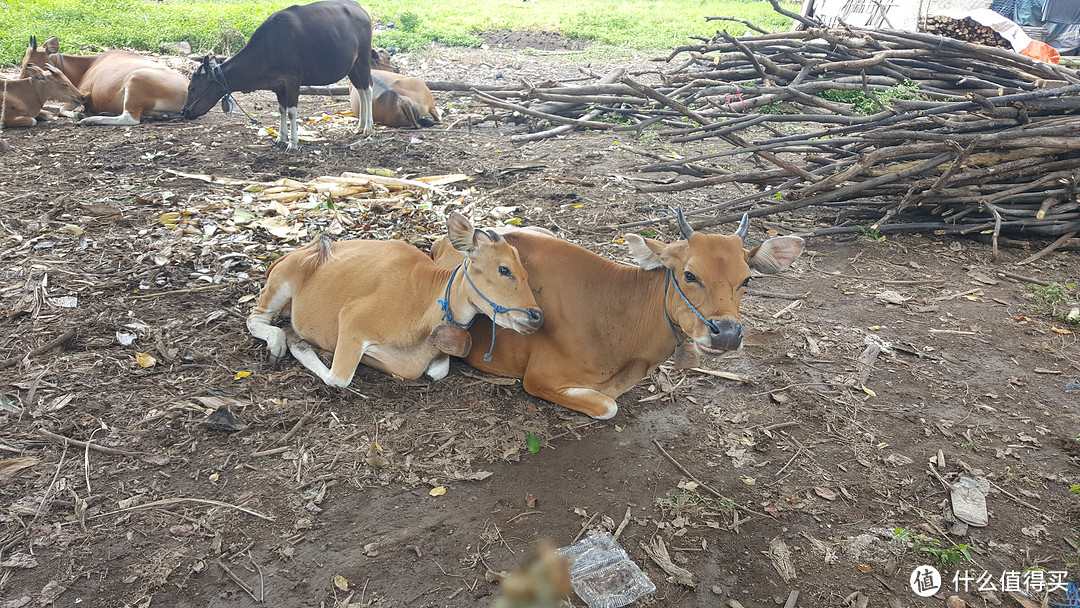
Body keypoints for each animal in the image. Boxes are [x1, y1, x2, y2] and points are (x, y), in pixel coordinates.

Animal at [22, 35, 190, 125]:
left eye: (29, 64)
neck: (86, 66)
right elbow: (54, 106)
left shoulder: (83, 95)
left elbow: (62, 108)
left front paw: (78, 115)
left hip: (135, 79)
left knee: (129, 119)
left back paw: (90, 120)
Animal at [182, 0, 375, 151]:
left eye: (192, 88)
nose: (184, 111)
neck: (268, 49)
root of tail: (360, 8)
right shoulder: (278, 85)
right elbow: (282, 110)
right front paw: (281, 139)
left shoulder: (293, 81)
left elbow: (291, 112)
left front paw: (293, 144)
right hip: (351, 67)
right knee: (360, 90)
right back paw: (360, 125)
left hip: (363, 60)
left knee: (368, 89)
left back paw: (369, 127)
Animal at [248, 212, 544, 384]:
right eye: (504, 269)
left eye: (525, 272)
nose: (537, 316)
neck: (426, 306)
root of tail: (291, 253)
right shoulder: (352, 322)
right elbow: (338, 379)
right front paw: (303, 346)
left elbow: (436, 372)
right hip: (279, 285)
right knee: (256, 319)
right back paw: (278, 343)